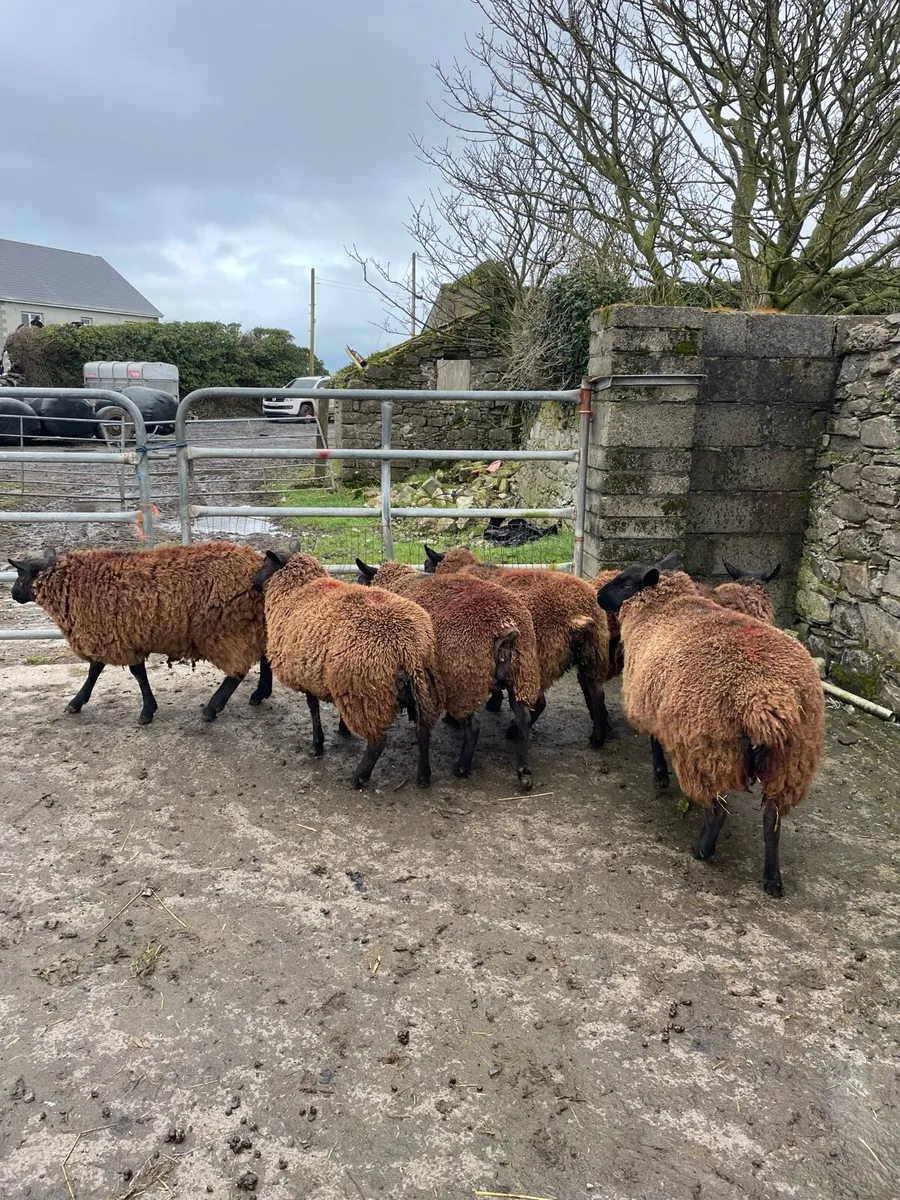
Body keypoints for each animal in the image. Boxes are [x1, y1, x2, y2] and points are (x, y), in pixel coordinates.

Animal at [7, 543, 271, 725]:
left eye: (20, 574)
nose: (12, 594)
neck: (72, 584)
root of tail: (255, 561)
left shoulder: (116, 637)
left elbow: (133, 674)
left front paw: (146, 712)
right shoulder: (114, 635)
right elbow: (98, 670)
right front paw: (77, 702)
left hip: (226, 629)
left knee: (237, 672)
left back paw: (212, 709)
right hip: (253, 624)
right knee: (266, 658)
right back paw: (260, 694)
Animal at [255, 550, 443, 790]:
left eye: (265, 563)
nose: (253, 582)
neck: (297, 588)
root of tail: (407, 645)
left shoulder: (306, 673)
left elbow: (313, 709)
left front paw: (317, 745)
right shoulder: (335, 680)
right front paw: (342, 728)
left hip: (367, 693)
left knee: (377, 741)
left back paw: (359, 777)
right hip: (420, 685)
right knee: (423, 730)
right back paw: (424, 775)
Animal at [355, 558, 542, 789]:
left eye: (361, 580)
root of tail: (506, 627)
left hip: (464, 679)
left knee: (474, 728)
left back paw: (462, 766)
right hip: (521, 674)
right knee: (524, 720)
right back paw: (523, 771)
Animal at [423, 546, 610, 747]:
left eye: (427, 565)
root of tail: (578, 616)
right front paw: (494, 702)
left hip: (537, 661)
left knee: (539, 702)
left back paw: (513, 731)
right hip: (593, 654)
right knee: (597, 692)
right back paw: (598, 735)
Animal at [597, 559, 824, 896]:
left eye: (625, 583)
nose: (598, 596)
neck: (664, 606)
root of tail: (766, 697)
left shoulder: (649, 698)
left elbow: (654, 740)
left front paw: (660, 775)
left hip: (707, 751)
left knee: (718, 810)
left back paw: (701, 849)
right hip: (789, 763)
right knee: (772, 821)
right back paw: (772, 879)